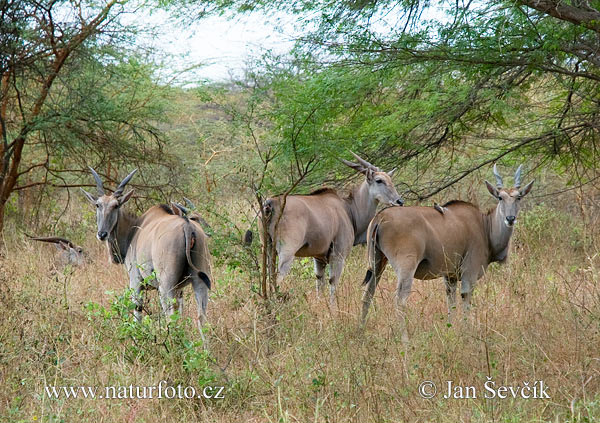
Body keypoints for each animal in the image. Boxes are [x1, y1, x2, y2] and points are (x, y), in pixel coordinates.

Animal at [81, 167, 213, 336]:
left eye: (116, 205)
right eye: (98, 205)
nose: (102, 234)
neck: (133, 231)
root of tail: (187, 226)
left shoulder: (136, 281)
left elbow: (137, 313)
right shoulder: (180, 290)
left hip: (166, 285)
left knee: (170, 316)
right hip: (199, 281)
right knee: (201, 318)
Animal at [262, 154, 404, 304]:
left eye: (390, 179)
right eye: (379, 180)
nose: (399, 201)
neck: (349, 209)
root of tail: (271, 203)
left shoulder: (318, 258)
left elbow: (320, 283)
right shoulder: (338, 255)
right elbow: (333, 282)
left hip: (268, 249)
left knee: (268, 277)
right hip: (287, 252)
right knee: (278, 278)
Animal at [360, 166, 536, 332]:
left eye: (518, 197)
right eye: (500, 197)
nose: (510, 218)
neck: (485, 226)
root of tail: (380, 217)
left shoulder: (450, 276)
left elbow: (451, 303)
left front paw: (451, 330)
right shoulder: (469, 273)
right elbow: (465, 299)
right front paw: (466, 333)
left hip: (377, 263)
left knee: (367, 296)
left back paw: (359, 333)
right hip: (406, 266)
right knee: (400, 300)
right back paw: (405, 340)